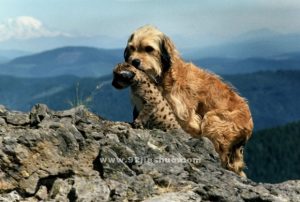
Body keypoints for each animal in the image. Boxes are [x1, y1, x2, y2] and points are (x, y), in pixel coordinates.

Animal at [123, 24, 253, 177]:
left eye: (149, 49)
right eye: (131, 48)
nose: (134, 61)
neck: (165, 74)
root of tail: (249, 125)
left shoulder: (185, 115)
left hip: (214, 120)